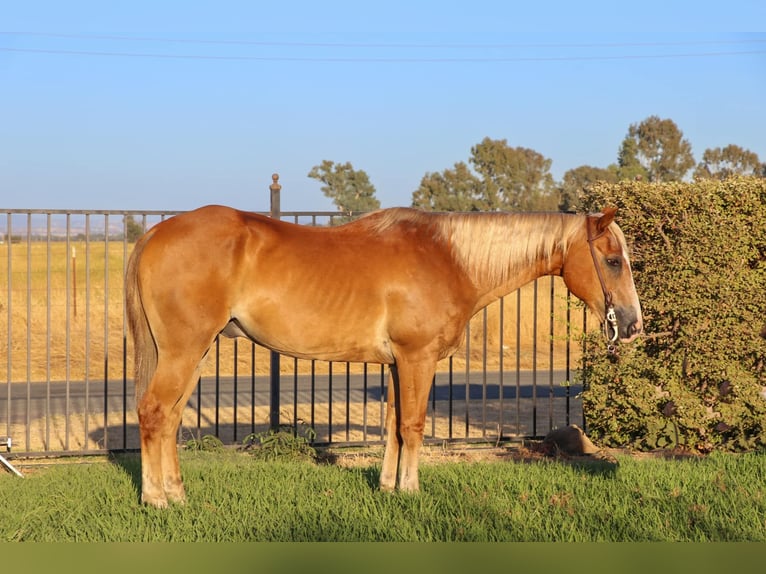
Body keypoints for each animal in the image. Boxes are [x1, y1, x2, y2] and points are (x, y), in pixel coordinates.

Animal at [126, 205, 642, 507]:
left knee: (170, 419)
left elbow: (394, 424)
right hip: (183, 351)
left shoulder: (397, 364)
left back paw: (177, 494)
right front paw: (411, 490)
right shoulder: (418, 359)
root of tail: (155, 232)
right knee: (153, 413)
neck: (450, 258)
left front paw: (388, 487)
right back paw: (155, 499)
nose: (633, 323)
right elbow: (412, 425)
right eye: (613, 260)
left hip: (196, 353)